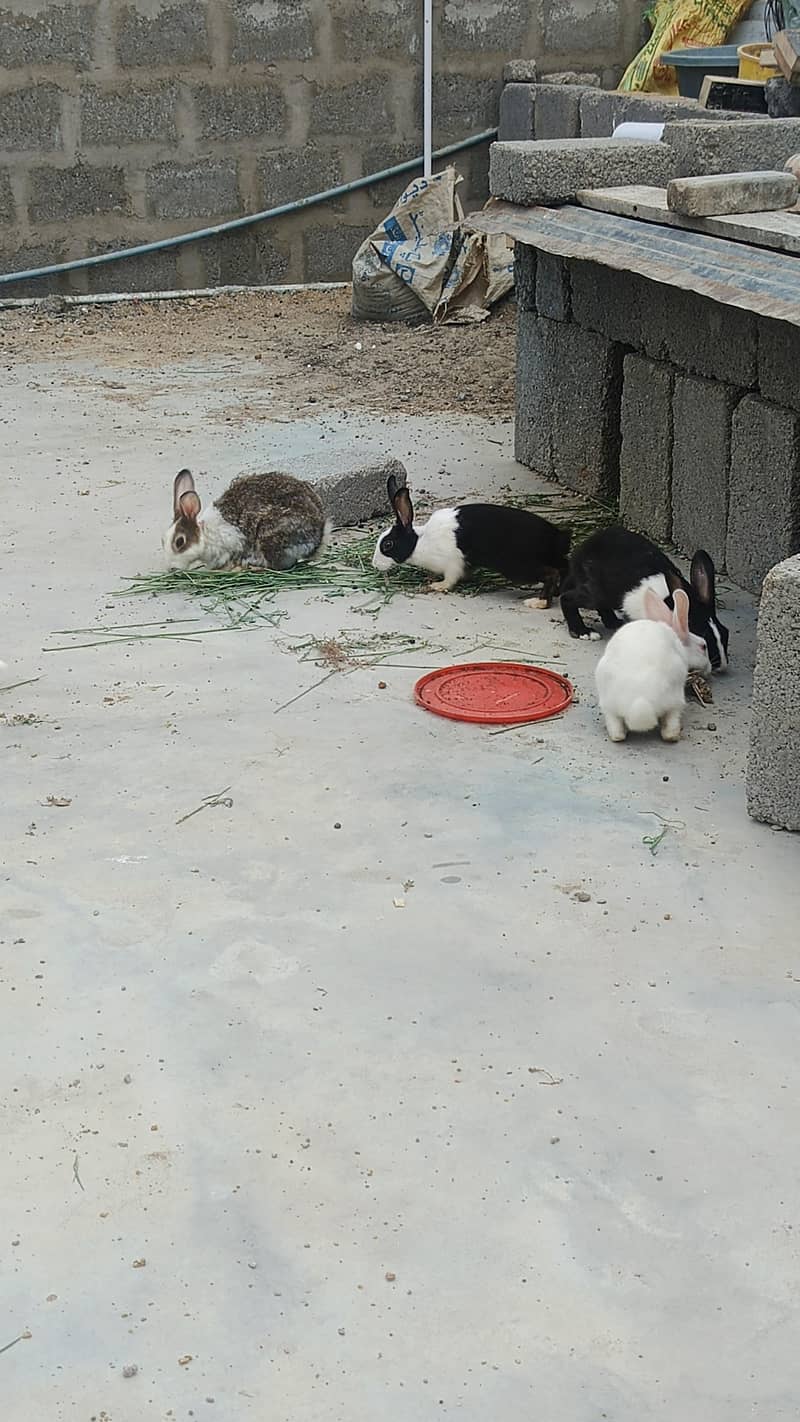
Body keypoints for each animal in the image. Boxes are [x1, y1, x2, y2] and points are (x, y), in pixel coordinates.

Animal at [371, 473, 571, 605]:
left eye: (387, 544)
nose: (374, 564)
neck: (420, 542)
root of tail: (556, 537)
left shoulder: (453, 563)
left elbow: (451, 579)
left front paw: (437, 586)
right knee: (564, 568)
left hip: (519, 566)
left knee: (551, 573)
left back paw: (537, 602)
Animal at [559, 525, 729, 671]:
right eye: (704, 642)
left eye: (725, 632)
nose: (722, 666)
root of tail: (582, 551)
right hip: (597, 594)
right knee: (566, 599)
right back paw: (583, 631)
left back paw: (615, 623)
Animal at [595, 587, 712, 743]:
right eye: (704, 646)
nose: (709, 668)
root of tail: (638, 703)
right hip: (675, 700)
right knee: (669, 729)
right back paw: (675, 735)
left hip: (608, 704)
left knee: (616, 730)